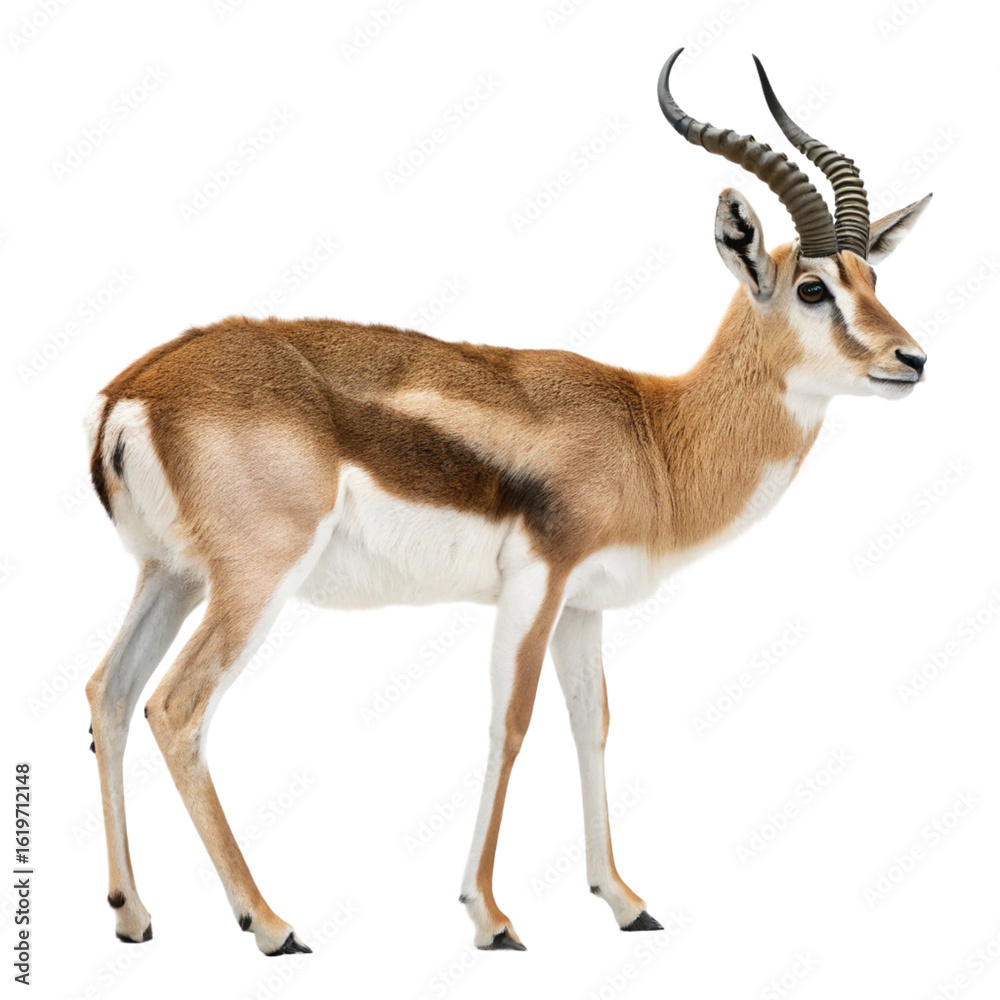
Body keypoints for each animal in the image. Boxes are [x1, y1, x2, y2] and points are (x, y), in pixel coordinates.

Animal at [84, 48, 932, 955]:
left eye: (873, 276)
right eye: (813, 289)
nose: (912, 359)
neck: (653, 435)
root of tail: (134, 390)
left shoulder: (584, 605)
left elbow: (591, 723)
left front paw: (624, 900)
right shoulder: (538, 581)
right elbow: (511, 721)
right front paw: (490, 917)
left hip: (171, 575)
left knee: (110, 693)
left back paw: (133, 914)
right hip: (252, 581)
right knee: (177, 707)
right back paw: (272, 924)